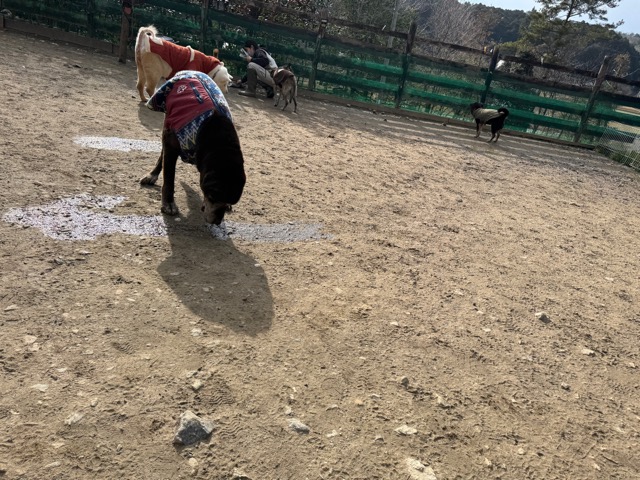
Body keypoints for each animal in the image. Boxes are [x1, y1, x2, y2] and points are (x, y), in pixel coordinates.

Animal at [140, 71, 246, 225]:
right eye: (213, 196)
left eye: (230, 201)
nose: (217, 221)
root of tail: (190, 71)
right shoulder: (171, 145)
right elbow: (169, 179)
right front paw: (168, 203)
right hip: (168, 124)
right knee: (162, 154)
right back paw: (152, 175)